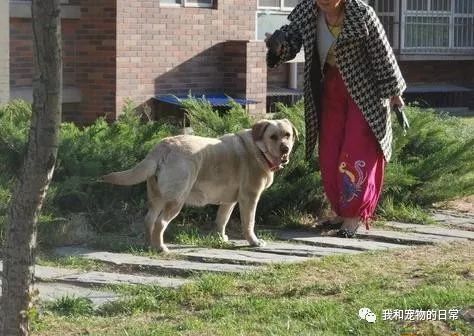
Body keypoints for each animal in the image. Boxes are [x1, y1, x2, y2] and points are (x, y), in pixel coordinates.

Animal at [102, 119, 296, 252]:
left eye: (287, 135)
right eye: (273, 137)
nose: (285, 148)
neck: (259, 149)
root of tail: (164, 145)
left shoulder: (229, 202)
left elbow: (222, 220)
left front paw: (220, 239)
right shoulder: (250, 197)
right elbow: (249, 223)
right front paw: (254, 242)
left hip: (156, 197)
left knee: (149, 219)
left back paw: (149, 245)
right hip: (176, 200)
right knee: (160, 222)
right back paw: (161, 248)